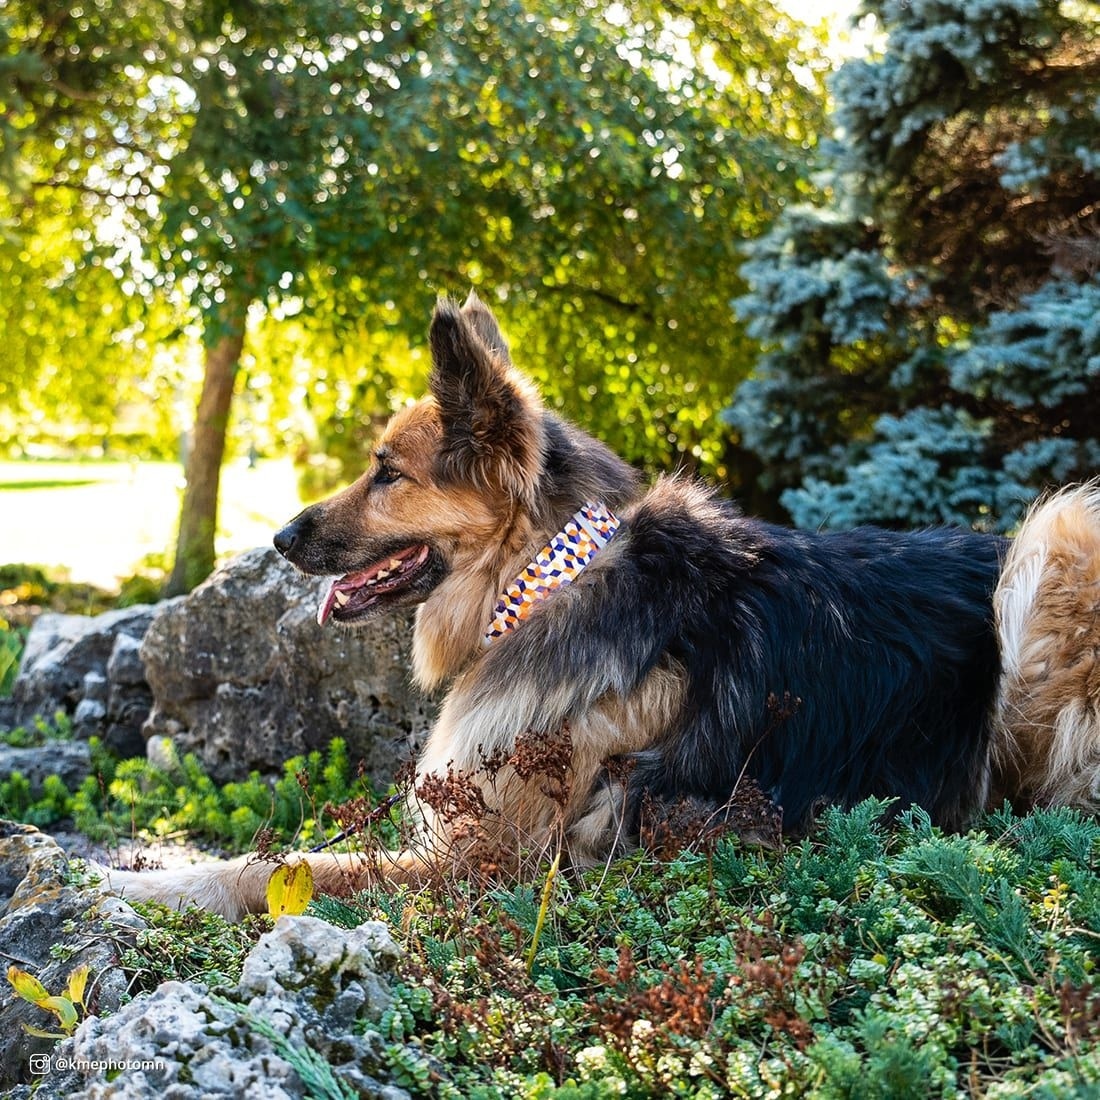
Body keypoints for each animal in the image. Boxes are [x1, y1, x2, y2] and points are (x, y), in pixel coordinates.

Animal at [103, 292, 1100, 918]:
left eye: (387, 474)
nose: (278, 539)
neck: (549, 576)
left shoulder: (491, 860)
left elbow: (279, 865)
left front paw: (136, 884)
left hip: (1055, 535)